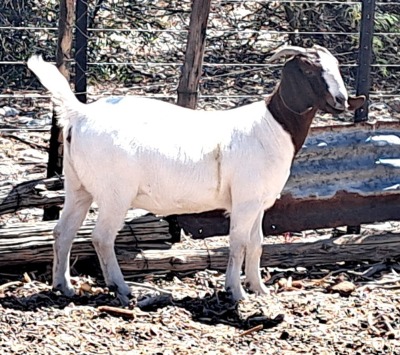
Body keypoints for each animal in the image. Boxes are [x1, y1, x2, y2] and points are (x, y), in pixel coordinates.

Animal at [27, 45, 366, 306]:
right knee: (101, 237)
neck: (272, 125)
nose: (341, 101)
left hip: (78, 186)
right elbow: (238, 243)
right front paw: (236, 292)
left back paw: (64, 287)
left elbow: (256, 243)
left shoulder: (258, 201)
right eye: (308, 70)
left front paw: (260, 288)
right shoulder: (244, 201)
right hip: (115, 192)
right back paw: (121, 289)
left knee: (63, 231)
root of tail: (80, 113)